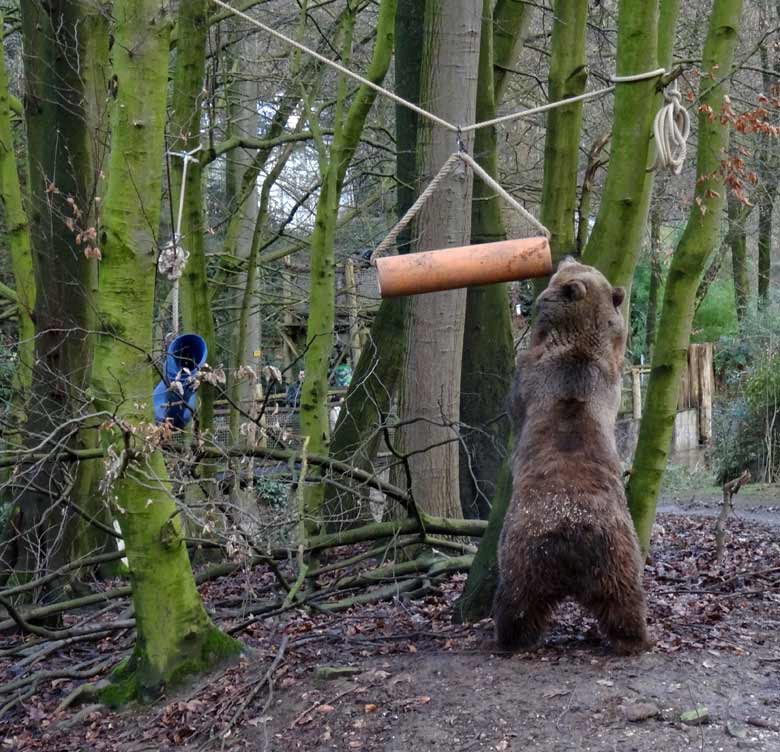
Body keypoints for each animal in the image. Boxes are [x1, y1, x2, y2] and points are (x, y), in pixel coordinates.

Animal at [494, 258, 652, 652]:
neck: (578, 342)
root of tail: (572, 532)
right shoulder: (609, 374)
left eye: (568, 271)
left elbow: (515, 397)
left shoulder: (534, 376)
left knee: (516, 603)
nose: (565, 257)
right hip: (618, 556)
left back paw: (509, 638)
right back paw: (636, 636)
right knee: (625, 601)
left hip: (523, 552)